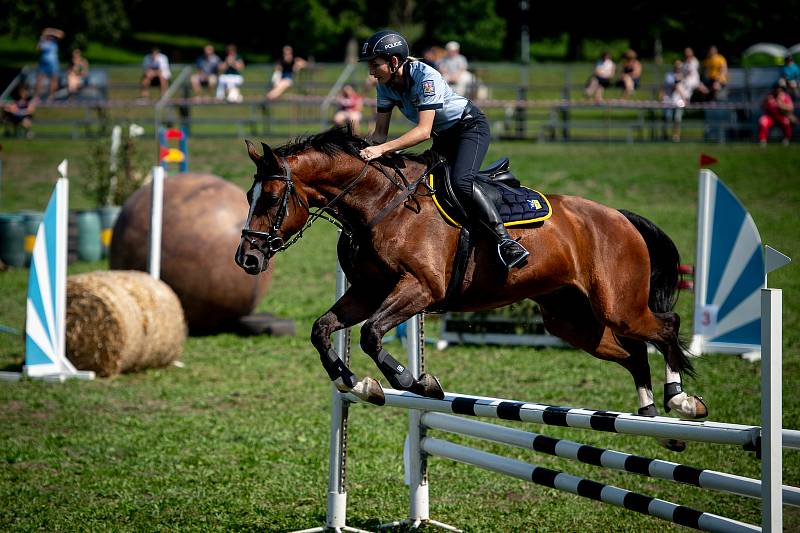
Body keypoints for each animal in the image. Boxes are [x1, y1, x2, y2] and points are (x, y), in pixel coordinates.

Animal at [236, 128, 708, 448]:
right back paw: (656, 423)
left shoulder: (420, 290)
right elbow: (322, 330)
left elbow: (370, 334)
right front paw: (359, 385)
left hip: (617, 306)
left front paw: (417, 383)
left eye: (271, 199)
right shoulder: (367, 292)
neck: (379, 204)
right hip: (572, 321)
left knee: (666, 325)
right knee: (634, 353)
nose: (247, 259)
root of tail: (620, 216)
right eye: (247, 196)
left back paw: (682, 403)